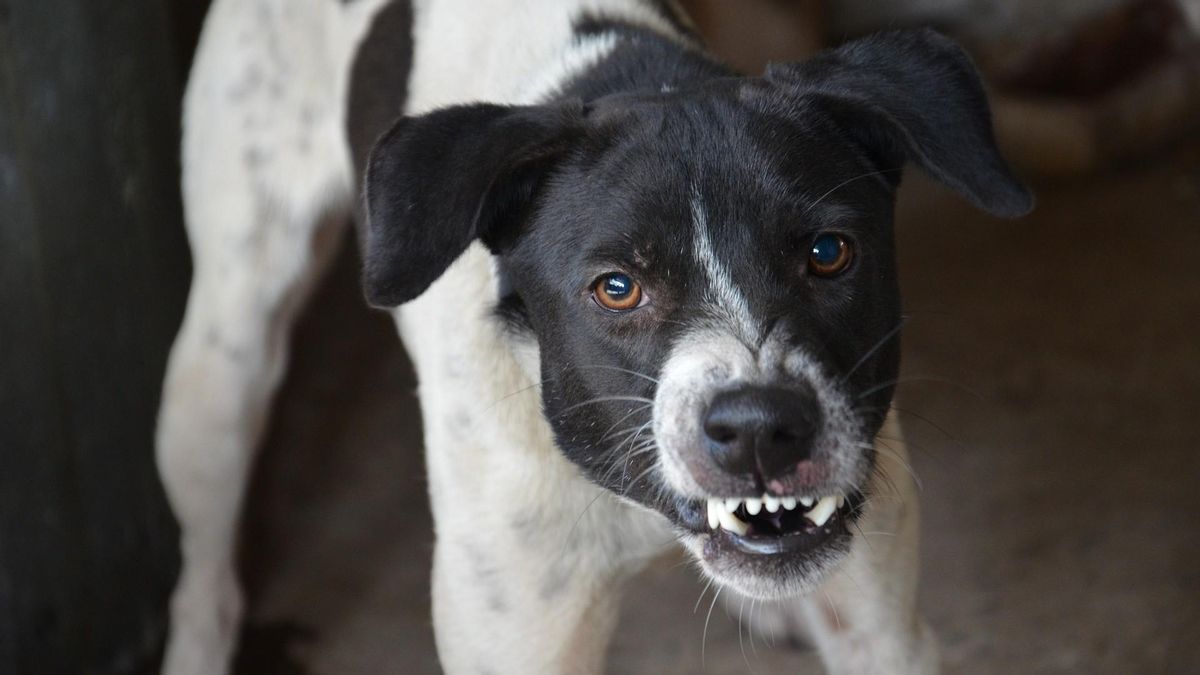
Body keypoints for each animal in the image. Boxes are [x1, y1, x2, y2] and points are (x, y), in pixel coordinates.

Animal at [154, 0, 1027, 667]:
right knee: (204, 572)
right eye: (616, 287)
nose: (760, 428)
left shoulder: (881, 628)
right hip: (223, 361)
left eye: (828, 252)